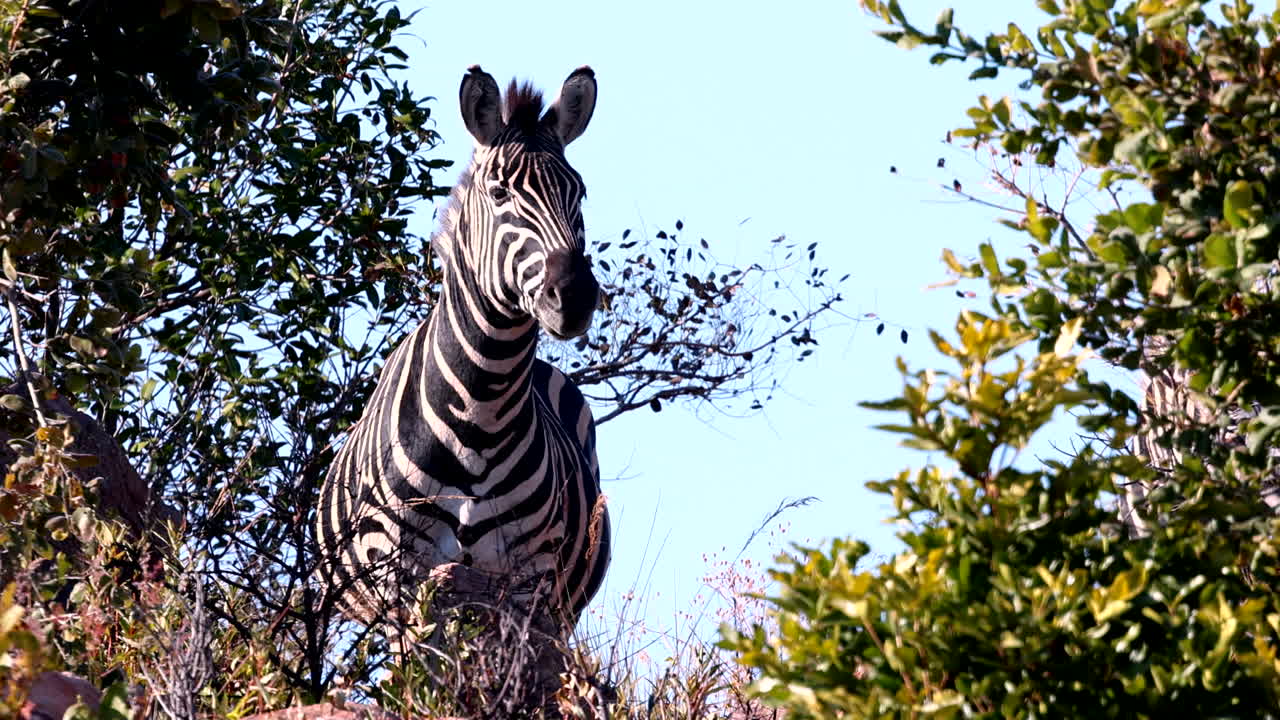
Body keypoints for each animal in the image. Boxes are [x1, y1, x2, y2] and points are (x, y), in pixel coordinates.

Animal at [316, 65, 610, 633]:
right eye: (499, 193)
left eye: (581, 194)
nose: (575, 297)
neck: (482, 409)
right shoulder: (401, 578)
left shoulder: (530, 582)